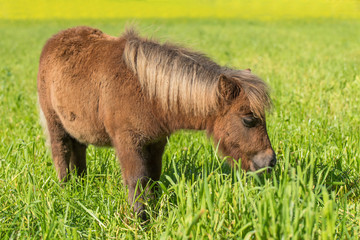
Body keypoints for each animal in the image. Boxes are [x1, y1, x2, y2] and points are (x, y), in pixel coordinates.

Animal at [37, 26, 276, 218]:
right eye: (248, 119)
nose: (270, 162)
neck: (149, 95)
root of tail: (52, 41)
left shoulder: (156, 142)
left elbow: (152, 177)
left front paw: (153, 211)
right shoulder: (129, 143)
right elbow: (137, 180)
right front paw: (139, 219)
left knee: (78, 151)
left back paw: (81, 185)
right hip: (55, 124)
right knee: (61, 153)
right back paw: (66, 190)